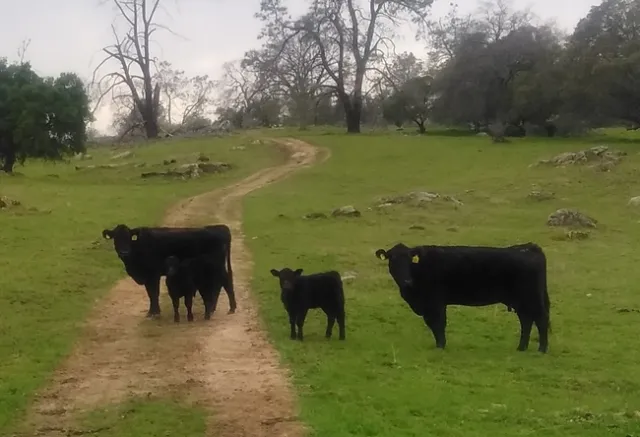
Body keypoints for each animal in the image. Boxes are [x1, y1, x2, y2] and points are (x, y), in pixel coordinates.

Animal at [102, 224, 236, 318]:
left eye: (128, 237)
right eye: (116, 238)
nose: (124, 252)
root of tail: (220, 227)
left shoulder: (153, 274)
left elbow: (153, 293)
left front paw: (154, 312)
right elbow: (150, 293)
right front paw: (152, 311)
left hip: (217, 265)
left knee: (225, 282)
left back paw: (229, 308)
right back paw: (215, 308)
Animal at [375, 242, 550, 353]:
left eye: (409, 260)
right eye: (393, 259)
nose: (406, 281)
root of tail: (529, 247)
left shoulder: (435, 302)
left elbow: (438, 324)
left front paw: (440, 346)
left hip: (532, 298)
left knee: (540, 321)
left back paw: (541, 349)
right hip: (522, 302)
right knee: (527, 321)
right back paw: (521, 348)